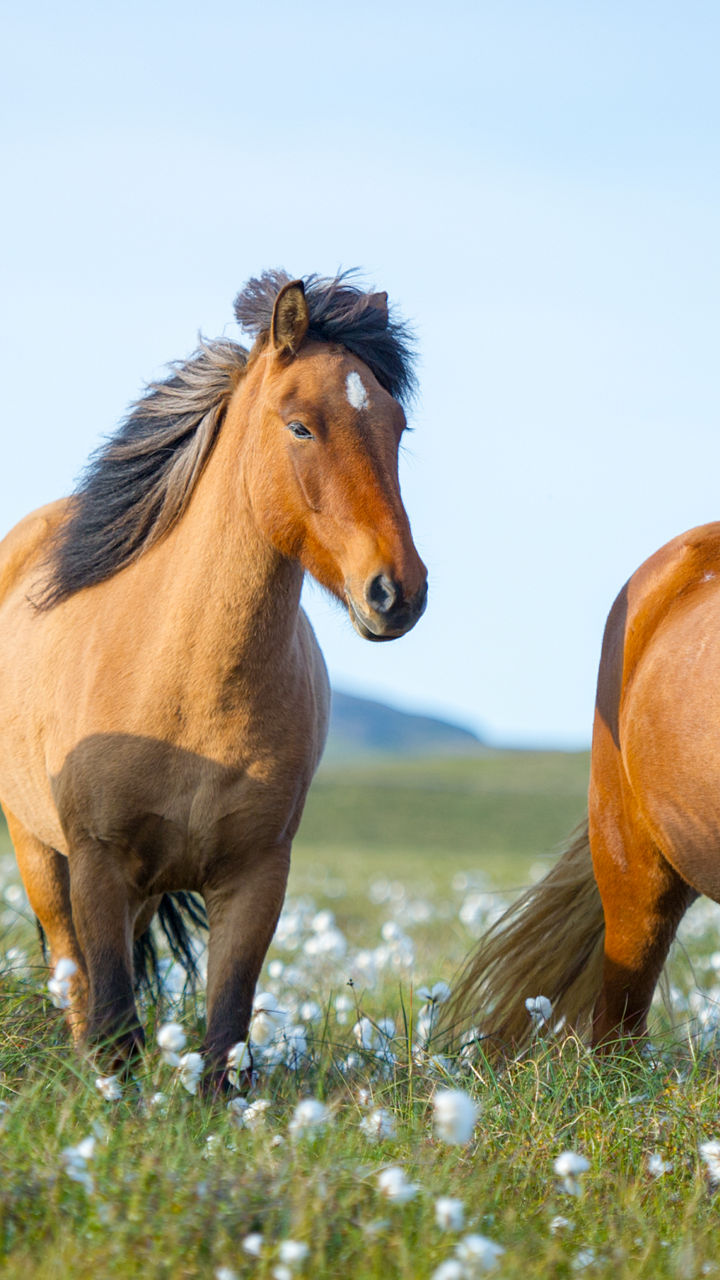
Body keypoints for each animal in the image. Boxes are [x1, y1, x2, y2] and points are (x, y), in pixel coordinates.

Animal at [0, 271, 427, 1082]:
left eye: (397, 429)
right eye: (300, 427)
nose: (399, 593)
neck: (187, 685)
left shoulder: (256, 877)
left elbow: (224, 1034)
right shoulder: (97, 863)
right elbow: (113, 1023)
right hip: (42, 856)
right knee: (75, 982)